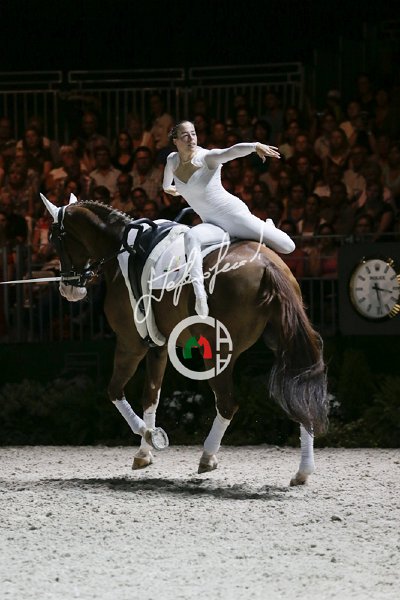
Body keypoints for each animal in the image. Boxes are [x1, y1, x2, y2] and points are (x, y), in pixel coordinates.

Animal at [40, 193, 329, 486]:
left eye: (54, 239)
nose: (68, 289)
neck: (121, 250)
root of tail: (267, 265)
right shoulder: (158, 347)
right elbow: (151, 397)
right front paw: (144, 453)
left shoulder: (130, 344)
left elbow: (114, 391)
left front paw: (151, 437)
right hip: (284, 341)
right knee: (299, 393)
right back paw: (303, 471)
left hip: (217, 352)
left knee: (228, 404)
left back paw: (207, 457)